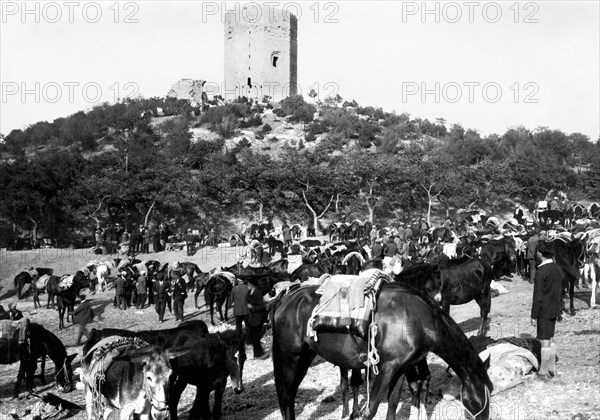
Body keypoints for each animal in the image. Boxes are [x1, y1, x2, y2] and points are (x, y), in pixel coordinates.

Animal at [272, 282, 492, 420]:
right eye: (483, 397)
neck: (418, 320)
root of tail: (287, 298)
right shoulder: (386, 369)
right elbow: (370, 410)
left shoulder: (400, 369)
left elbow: (393, 405)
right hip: (291, 358)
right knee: (286, 397)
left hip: (304, 356)